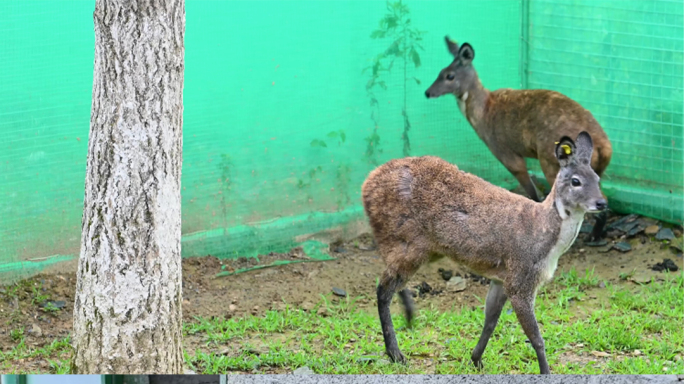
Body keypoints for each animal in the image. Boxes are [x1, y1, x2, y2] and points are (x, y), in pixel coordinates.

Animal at [360, 130, 608, 374]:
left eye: (598, 179)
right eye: (576, 181)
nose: (602, 203)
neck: (546, 241)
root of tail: (366, 186)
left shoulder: (501, 279)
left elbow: (490, 320)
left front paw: (476, 360)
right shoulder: (521, 279)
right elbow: (536, 337)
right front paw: (545, 373)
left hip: (423, 249)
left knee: (392, 282)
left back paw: (409, 319)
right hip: (407, 243)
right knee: (383, 288)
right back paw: (396, 353)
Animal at [424, 35, 612, 240]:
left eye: (450, 76)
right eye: (440, 72)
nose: (428, 92)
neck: (483, 113)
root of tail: (604, 147)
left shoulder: (505, 152)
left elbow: (533, 193)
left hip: (549, 161)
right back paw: (596, 234)